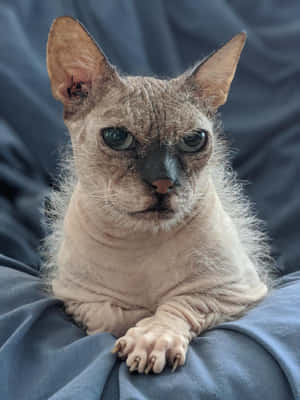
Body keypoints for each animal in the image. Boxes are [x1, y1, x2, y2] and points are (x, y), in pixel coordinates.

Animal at [42, 17, 274, 376]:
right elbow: (110, 317)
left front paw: (150, 339)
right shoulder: (76, 299)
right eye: (116, 137)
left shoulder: (237, 291)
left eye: (194, 140)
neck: (140, 244)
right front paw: (136, 322)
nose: (164, 182)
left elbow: (180, 303)